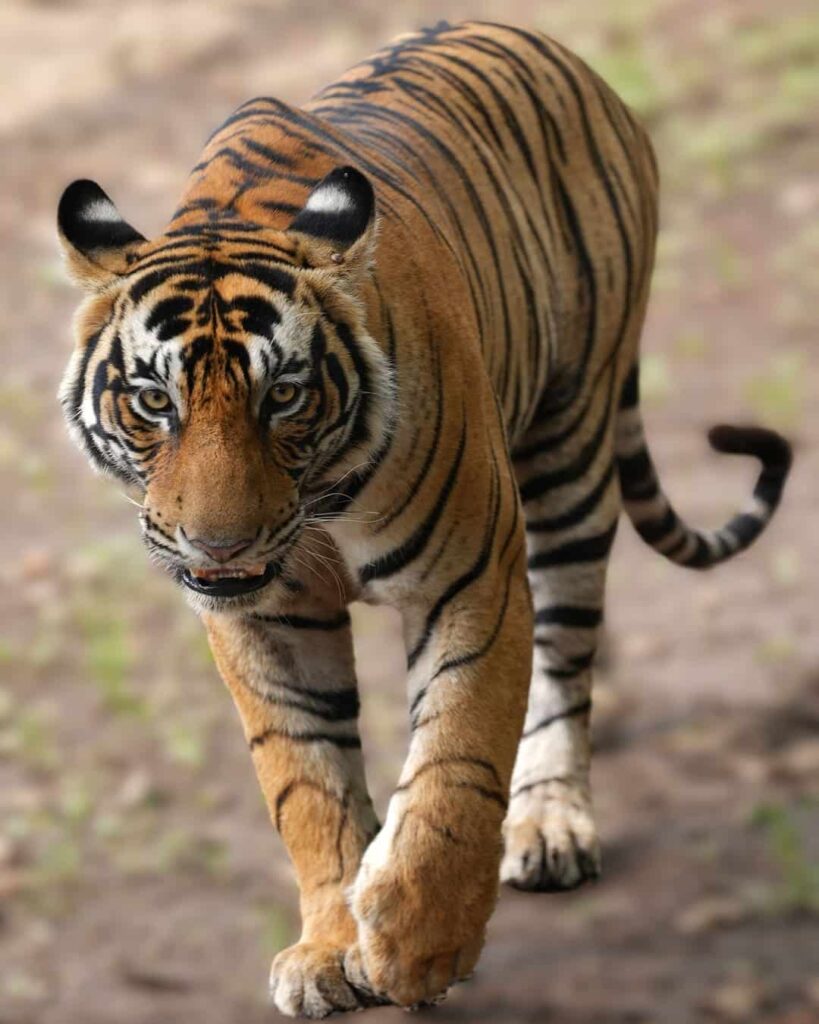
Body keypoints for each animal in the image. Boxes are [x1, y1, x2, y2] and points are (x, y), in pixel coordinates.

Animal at [57, 20, 791, 1018]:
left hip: (569, 451)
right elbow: (307, 782)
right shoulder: (263, 618)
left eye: (283, 396)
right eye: (152, 402)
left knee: (565, 654)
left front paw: (414, 949)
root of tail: (553, 47)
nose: (221, 544)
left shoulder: (470, 575)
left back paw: (550, 822)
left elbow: (455, 761)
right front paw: (329, 948)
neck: (317, 511)